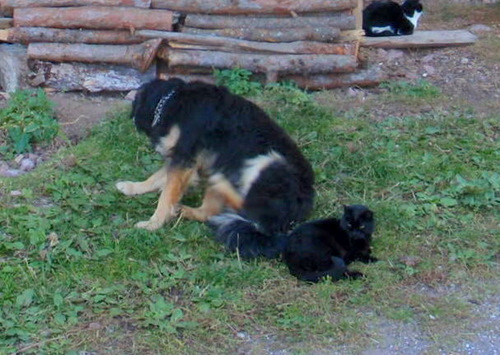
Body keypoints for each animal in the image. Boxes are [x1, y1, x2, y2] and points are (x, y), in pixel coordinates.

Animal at [115, 78, 314, 258]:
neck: (171, 102)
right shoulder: (181, 158)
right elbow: (156, 178)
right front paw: (133, 187)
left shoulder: (185, 157)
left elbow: (166, 196)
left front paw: (153, 223)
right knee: (210, 212)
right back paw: (185, 209)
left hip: (267, 162)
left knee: (243, 205)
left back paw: (220, 181)